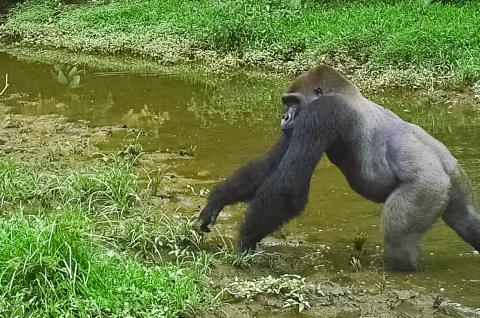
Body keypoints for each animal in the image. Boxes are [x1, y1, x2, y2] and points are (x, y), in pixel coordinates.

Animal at [196, 64, 480, 270]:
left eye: (293, 102)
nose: (284, 118)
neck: (346, 93)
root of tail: (443, 163)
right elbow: (269, 165)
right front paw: (218, 198)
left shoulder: (320, 113)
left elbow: (289, 187)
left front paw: (245, 241)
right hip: (455, 181)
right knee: (466, 219)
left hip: (427, 185)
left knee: (399, 240)